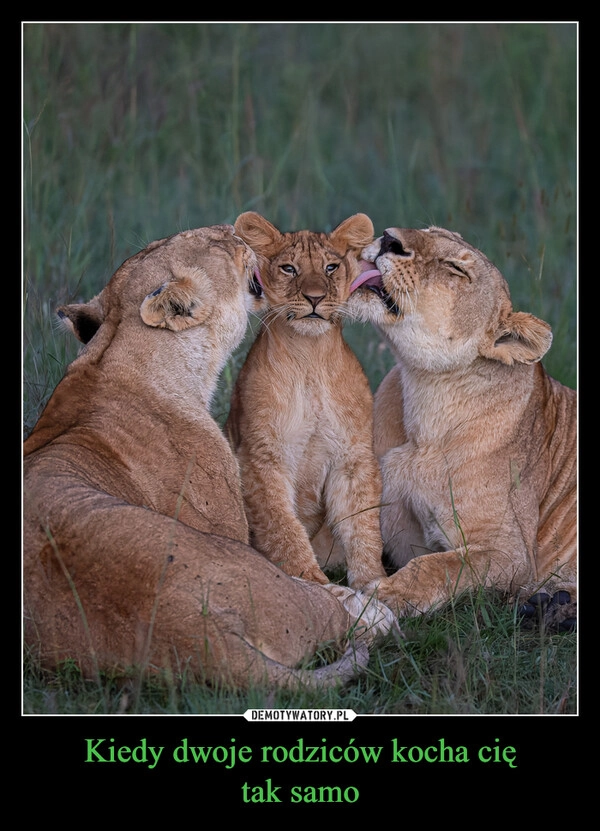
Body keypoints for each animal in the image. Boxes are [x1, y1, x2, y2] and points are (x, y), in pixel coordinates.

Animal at [223, 214, 386, 592]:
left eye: (330, 267)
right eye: (289, 268)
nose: (314, 298)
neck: (309, 357)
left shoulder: (352, 458)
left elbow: (363, 526)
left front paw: (374, 583)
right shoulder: (261, 457)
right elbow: (282, 525)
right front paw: (310, 580)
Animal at [346, 228, 576, 632]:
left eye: (456, 268)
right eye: (430, 232)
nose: (389, 239)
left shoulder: (510, 552)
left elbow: (436, 566)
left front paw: (380, 597)